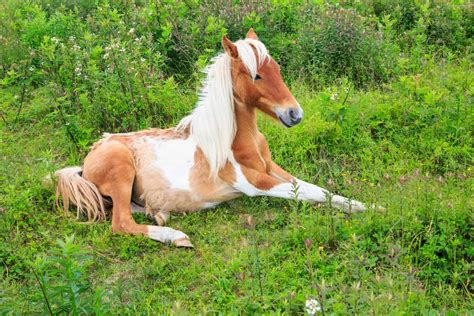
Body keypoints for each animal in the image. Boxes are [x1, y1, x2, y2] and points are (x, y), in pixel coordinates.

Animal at [54, 29, 366, 247]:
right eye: (256, 76)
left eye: (276, 68)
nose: (295, 114)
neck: (235, 141)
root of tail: (86, 161)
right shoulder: (256, 182)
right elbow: (312, 193)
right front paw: (368, 208)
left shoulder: (272, 169)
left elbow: (317, 189)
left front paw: (364, 205)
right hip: (121, 169)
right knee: (120, 222)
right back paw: (175, 236)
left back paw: (159, 214)